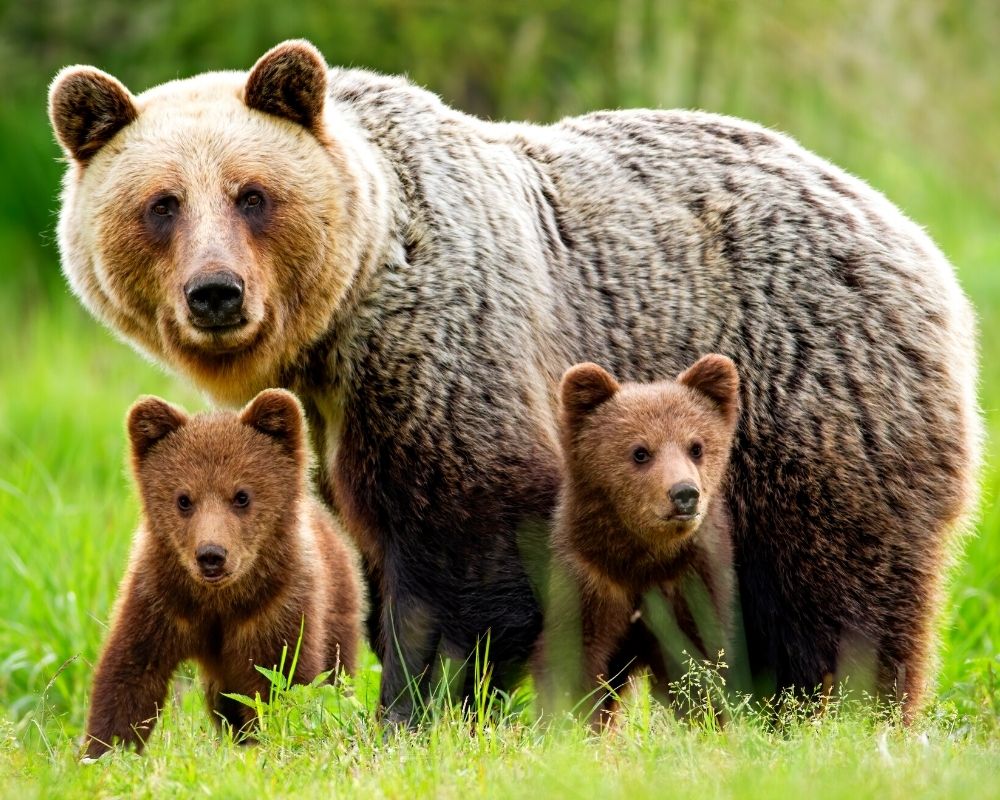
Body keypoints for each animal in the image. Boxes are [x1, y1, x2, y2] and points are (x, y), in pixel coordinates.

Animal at [82, 389, 363, 758]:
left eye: (242, 495)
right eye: (183, 499)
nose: (211, 555)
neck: (218, 601)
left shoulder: (276, 609)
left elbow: (282, 681)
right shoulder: (160, 600)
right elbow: (129, 675)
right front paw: (104, 751)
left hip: (337, 608)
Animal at [538, 355, 739, 726]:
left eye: (696, 446)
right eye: (640, 452)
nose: (685, 493)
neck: (641, 562)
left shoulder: (690, 583)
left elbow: (698, 665)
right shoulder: (590, 581)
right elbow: (573, 661)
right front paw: (571, 722)